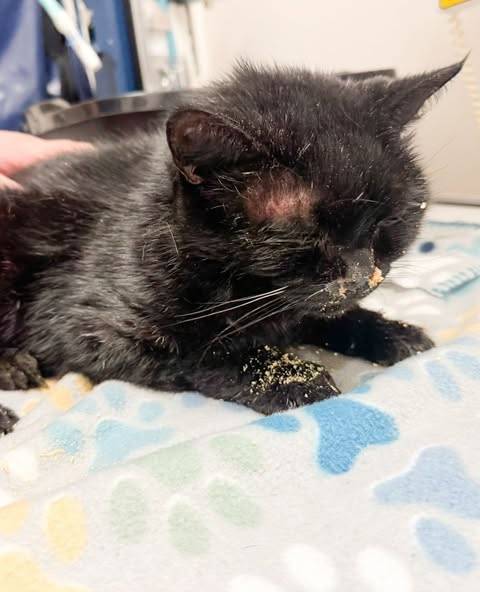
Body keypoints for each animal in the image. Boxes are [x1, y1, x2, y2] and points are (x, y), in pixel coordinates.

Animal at [0, 60, 464, 431]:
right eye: (304, 232)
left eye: (393, 220)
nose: (363, 274)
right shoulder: (87, 326)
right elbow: (201, 352)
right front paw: (291, 377)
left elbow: (329, 316)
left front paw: (392, 332)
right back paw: (12, 376)